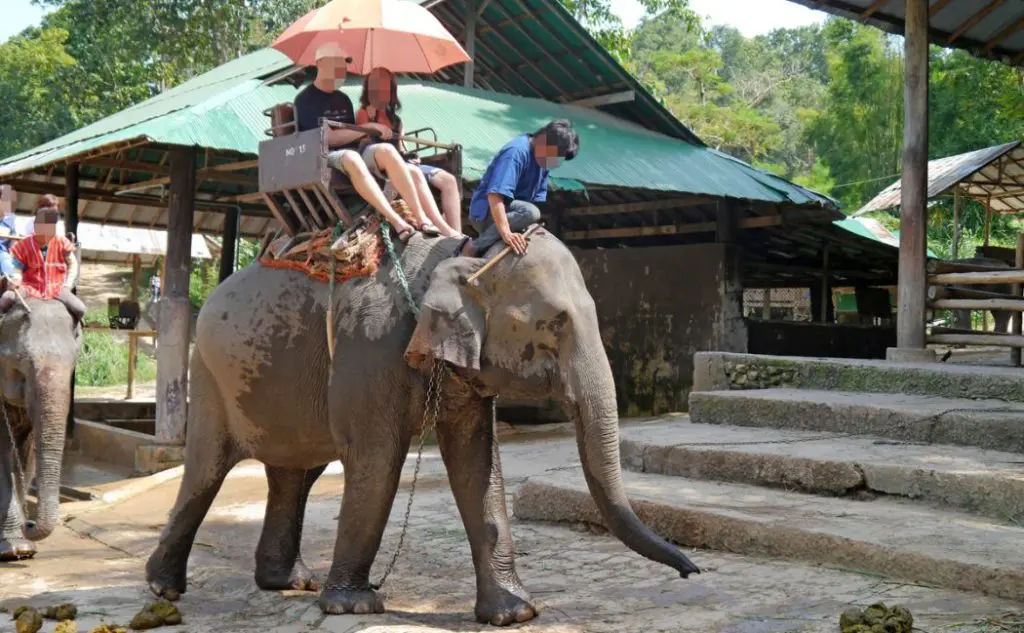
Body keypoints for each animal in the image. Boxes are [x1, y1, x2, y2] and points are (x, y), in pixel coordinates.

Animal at [0, 299, 82, 561]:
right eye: (19, 367)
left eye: (73, 365)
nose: (30, 523)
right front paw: (14, 550)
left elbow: (26, 453)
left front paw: (24, 548)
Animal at [144, 228, 700, 626]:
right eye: (555, 322)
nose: (692, 570)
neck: (463, 253)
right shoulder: (369, 353)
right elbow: (377, 461)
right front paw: (353, 607)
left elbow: (477, 463)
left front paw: (515, 614)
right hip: (208, 374)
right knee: (207, 470)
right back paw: (163, 588)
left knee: (294, 473)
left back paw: (289, 583)